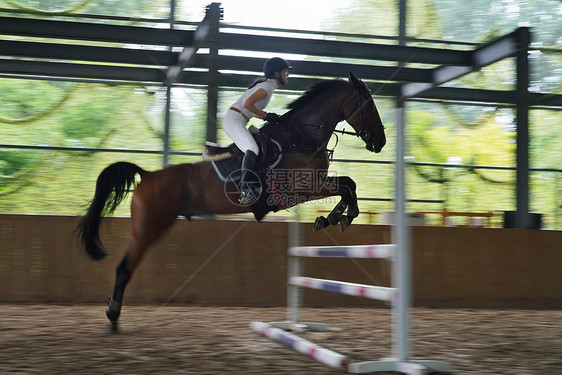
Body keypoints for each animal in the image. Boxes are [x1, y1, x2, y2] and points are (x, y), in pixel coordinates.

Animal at [77, 72, 384, 330]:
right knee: (124, 268)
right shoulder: (303, 189)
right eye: (369, 105)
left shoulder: (314, 185)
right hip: (149, 229)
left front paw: (335, 217)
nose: (380, 142)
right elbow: (346, 187)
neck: (300, 138)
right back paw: (113, 316)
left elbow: (349, 185)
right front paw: (335, 217)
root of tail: (148, 175)